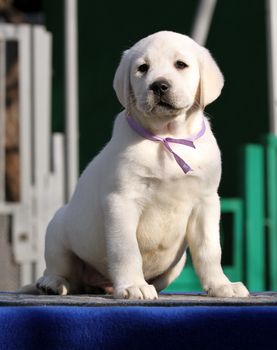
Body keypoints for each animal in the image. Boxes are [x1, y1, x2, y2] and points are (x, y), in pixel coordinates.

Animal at [35, 30, 248, 298]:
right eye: (142, 68)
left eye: (181, 65)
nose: (159, 85)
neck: (167, 136)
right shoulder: (121, 201)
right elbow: (126, 250)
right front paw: (132, 285)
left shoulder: (206, 201)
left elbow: (209, 249)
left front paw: (221, 285)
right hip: (58, 229)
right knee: (62, 270)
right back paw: (53, 283)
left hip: (175, 266)